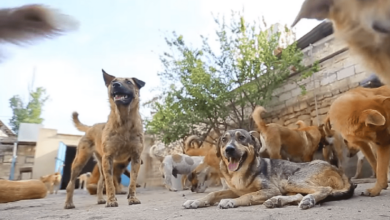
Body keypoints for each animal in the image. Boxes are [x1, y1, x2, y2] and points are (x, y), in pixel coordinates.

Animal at [64, 69, 145, 209]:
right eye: (113, 81)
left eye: (129, 82)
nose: (116, 85)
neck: (124, 121)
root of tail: (90, 127)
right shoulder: (109, 158)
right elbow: (110, 183)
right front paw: (111, 200)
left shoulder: (135, 157)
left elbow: (132, 181)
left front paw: (132, 198)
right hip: (80, 162)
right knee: (71, 184)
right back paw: (69, 203)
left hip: (101, 165)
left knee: (101, 183)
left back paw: (101, 199)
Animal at [181, 129, 354, 210]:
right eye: (224, 140)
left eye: (241, 137)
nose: (229, 150)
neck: (241, 172)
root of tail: (340, 172)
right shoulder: (235, 189)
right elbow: (213, 193)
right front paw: (195, 202)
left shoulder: (270, 189)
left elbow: (249, 195)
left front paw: (230, 201)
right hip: (288, 184)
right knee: (299, 195)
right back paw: (276, 201)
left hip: (291, 180)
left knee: (324, 190)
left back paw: (307, 200)